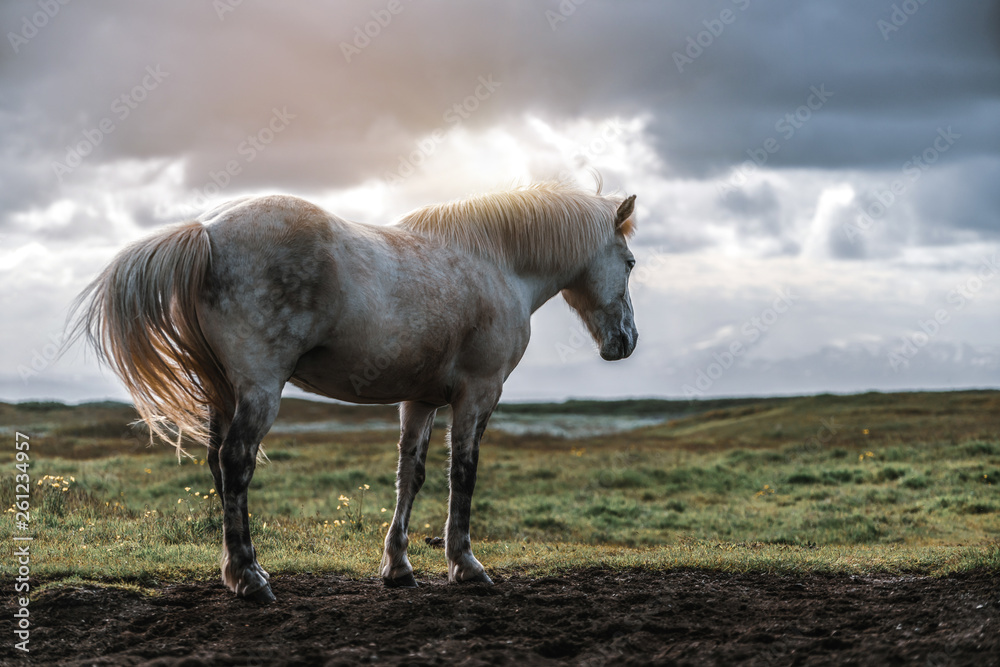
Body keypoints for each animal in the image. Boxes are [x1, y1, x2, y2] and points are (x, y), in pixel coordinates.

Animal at [70, 180, 636, 604]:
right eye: (629, 263)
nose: (626, 342)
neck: (497, 263)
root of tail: (206, 230)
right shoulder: (478, 394)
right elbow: (463, 474)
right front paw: (465, 565)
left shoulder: (421, 400)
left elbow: (412, 475)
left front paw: (398, 567)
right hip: (259, 390)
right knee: (236, 462)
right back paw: (250, 579)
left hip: (224, 392)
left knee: (216, 463)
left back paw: (241, 571)